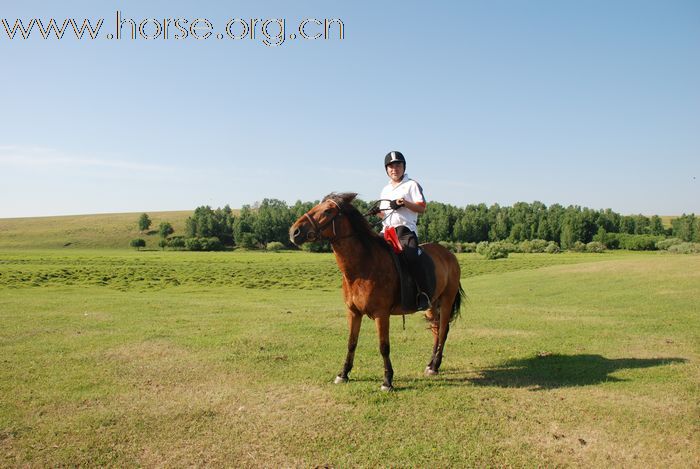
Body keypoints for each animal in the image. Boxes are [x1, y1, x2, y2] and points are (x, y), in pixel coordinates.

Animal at [290, 192, 464, 390]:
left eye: (327, 211)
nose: (294, 232)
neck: (363, 268)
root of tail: (449, 254)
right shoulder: (353, 312)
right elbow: (351, 343)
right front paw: (343, 373)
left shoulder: (382, 314)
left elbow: (384, 346)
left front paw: (387, 380)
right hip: (431, 304)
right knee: (436, 329)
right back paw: (431, 364)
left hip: (447, 300)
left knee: (442, 330)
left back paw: (435, 365)